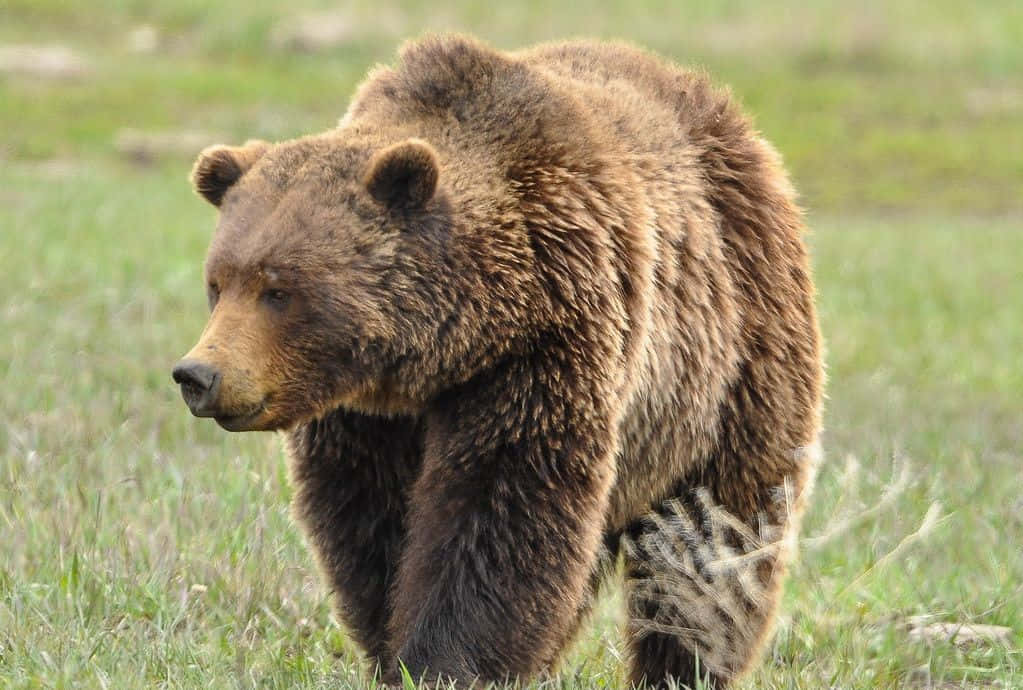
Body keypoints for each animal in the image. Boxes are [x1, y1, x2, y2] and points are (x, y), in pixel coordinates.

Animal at [172, 35, 823, 689]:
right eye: (217, 282)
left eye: (278, 289)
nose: (198, 375)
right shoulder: (369, 418)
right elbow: (371, 519)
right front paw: (393, 644)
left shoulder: (547, 342)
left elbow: (499, 507)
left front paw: (444, 659)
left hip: (731, 369)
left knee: (712, 546)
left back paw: (684, 663)